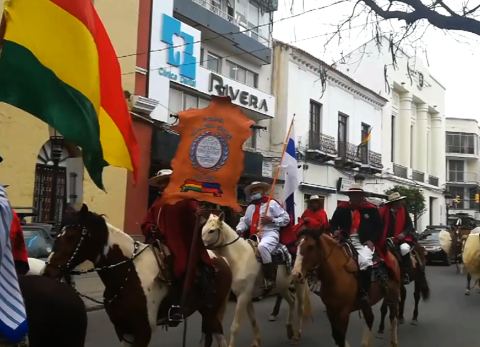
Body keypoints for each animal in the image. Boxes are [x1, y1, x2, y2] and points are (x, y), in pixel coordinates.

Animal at [45, 205, 232, 347]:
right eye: (58, 235)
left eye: (71, 236)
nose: (48, 272)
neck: (126, 275)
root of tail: (221, 259)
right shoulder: (123, 330)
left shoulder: (143, 332)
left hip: (211, 311)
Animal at [200, 215, 306, 347]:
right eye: (203, 228)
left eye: (212, 230)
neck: (240, 258)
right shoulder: (248, 297)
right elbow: (253, 320)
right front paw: (257, 341)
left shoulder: (243, 296)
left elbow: (235, 327)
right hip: (282, 287)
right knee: (291, 301)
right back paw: (289, 329)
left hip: (300, 283)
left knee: (300, 307)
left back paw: (298, 334)